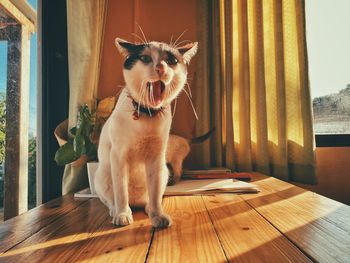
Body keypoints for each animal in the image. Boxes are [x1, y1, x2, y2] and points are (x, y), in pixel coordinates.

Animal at [93, 37, 197, 229]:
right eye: (145, 58)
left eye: (171, 60)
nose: (160, 67)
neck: (147, 114)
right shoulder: (118, 156)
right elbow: (121, 192)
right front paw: (122, 215)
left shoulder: (155, 157)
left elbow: (155, 194)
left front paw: (157, 217)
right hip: (102, 175)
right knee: (112, 200)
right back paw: (117, 212)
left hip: (164, 171)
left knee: (149, 198)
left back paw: (150, 209)